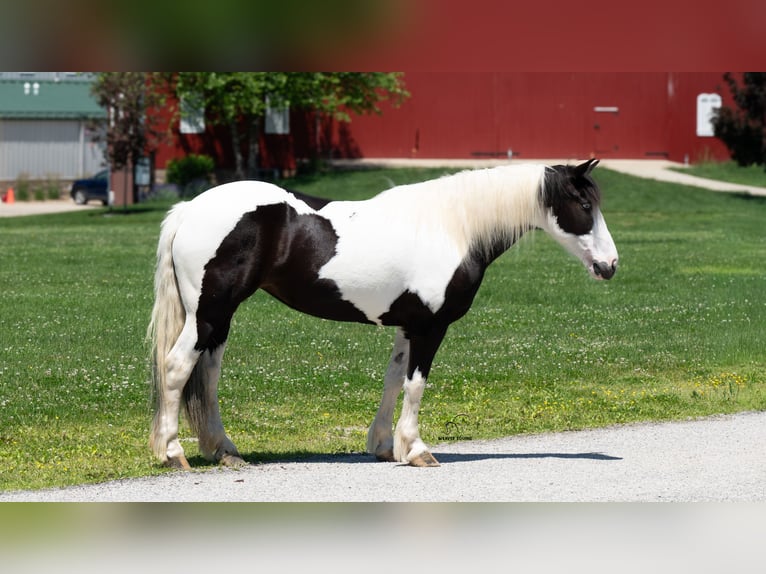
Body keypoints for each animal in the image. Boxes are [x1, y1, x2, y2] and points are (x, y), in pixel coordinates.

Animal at [147, 159, 618, 469]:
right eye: (583, 204)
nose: (610, 266)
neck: (452, 228)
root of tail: (189, 209)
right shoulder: (430, 327)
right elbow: (416, 385)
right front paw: (416, 449)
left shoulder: (407, 326)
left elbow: (393, 380)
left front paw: (384, 446)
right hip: (208, 314)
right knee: (177, 368)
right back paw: (173, 453)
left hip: (218, 319)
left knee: (207, 377)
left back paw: (224, 451)